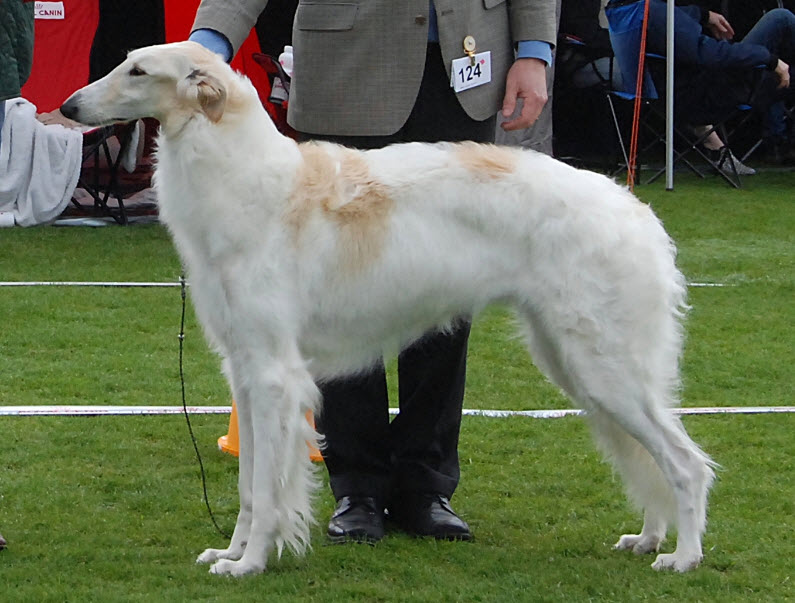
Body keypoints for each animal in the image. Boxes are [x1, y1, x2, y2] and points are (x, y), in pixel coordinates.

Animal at [62, 40, 720, 580]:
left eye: (138, 70)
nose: (67, 107)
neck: (246, 176)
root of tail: (633, 209)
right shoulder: (244, 371)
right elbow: (250, 488)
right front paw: (230, 552)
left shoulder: (275, 375)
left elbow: (270, 491)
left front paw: (250, 563)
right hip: (579, 366)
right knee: (651, 461)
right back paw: (648, 537)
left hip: (604, 366)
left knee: (686, 464)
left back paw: (683, 556)